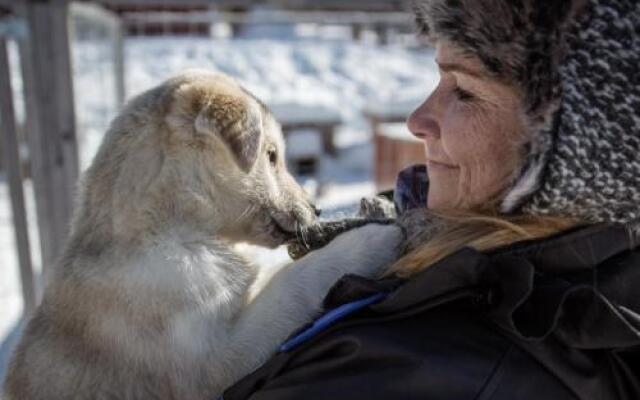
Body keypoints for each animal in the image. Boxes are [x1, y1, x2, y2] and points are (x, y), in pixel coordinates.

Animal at [2, 70, 400, 398]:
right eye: (271, 156)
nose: (316, 209)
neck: (173, 230)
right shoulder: (215, 362)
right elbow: (294, 283)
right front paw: (372, 239)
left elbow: (278, 275)